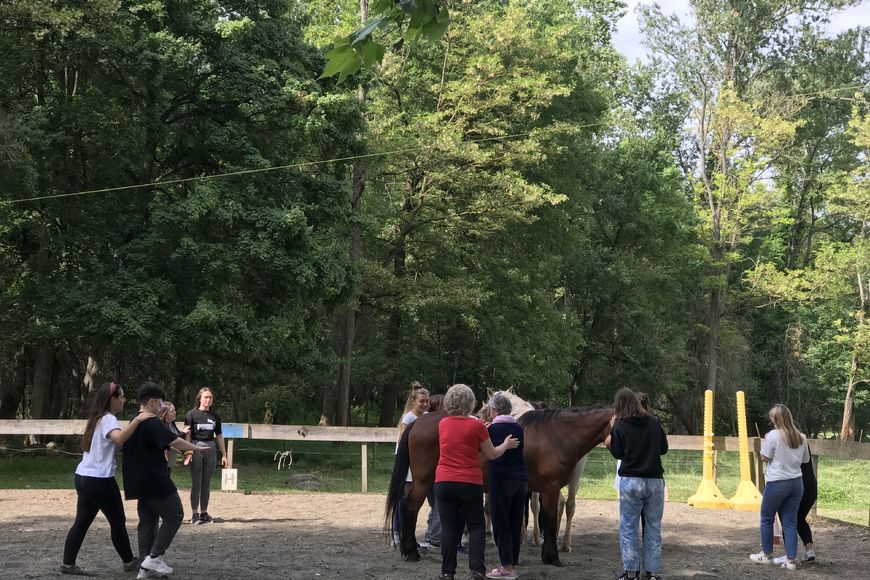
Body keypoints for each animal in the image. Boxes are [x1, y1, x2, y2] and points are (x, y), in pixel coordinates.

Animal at [385, 394, 612, 567]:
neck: (556, 435)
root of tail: (418, 422)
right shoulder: (550, 488)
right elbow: (548, 519)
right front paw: (551, 557)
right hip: (423, 480)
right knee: (409, 508)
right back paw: (411, 552)